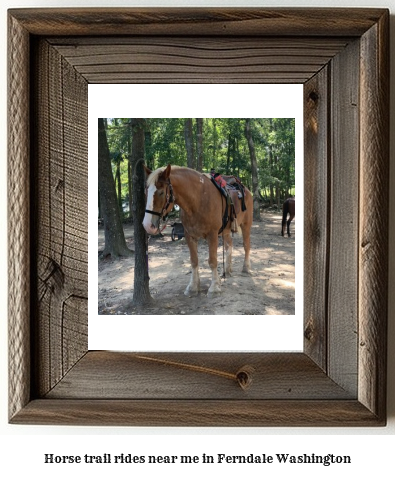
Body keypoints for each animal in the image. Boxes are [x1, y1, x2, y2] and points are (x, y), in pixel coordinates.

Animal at [144, 164, 252, 296]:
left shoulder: (212, 234)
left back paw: (246, 268)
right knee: (229, 246)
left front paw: (214, 287)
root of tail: (246, 189)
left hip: (246, 225)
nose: (147, 225)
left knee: (246, 245)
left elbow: (212, 261)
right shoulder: (189, 235)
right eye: (146, 191)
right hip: (226, 230)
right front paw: (193, 286)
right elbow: (194, 261)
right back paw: (227, 270)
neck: (198, 200)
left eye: (161, 192)